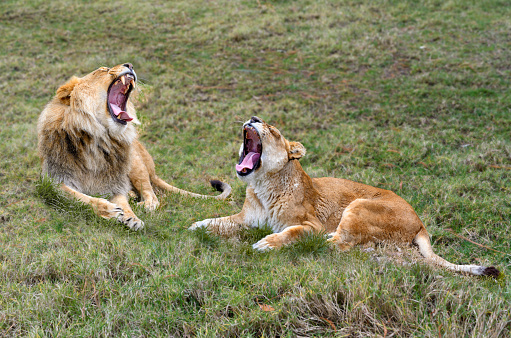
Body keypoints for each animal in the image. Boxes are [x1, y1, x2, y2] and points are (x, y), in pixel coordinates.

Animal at [39, 63, 231, 230]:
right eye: (102, 70)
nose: (129, 65)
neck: (97, 137)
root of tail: (153, 171)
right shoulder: (54, 182)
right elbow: (82, 198)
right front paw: (110, 210)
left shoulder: (115, 183)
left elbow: (122, 201)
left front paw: (131, 217)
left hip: (136, 162)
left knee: (151, 193)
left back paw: (144, 204)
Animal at [192, 117, 500, 278]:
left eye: (274, 131)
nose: (254, 119)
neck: (261, 186)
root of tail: (420, 221)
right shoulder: (246, 219)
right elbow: (221, 221)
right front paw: (199, 226)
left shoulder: (310, 223)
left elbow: (292, 232)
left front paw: (267, 243)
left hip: (359, 205)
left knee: (337, 244)